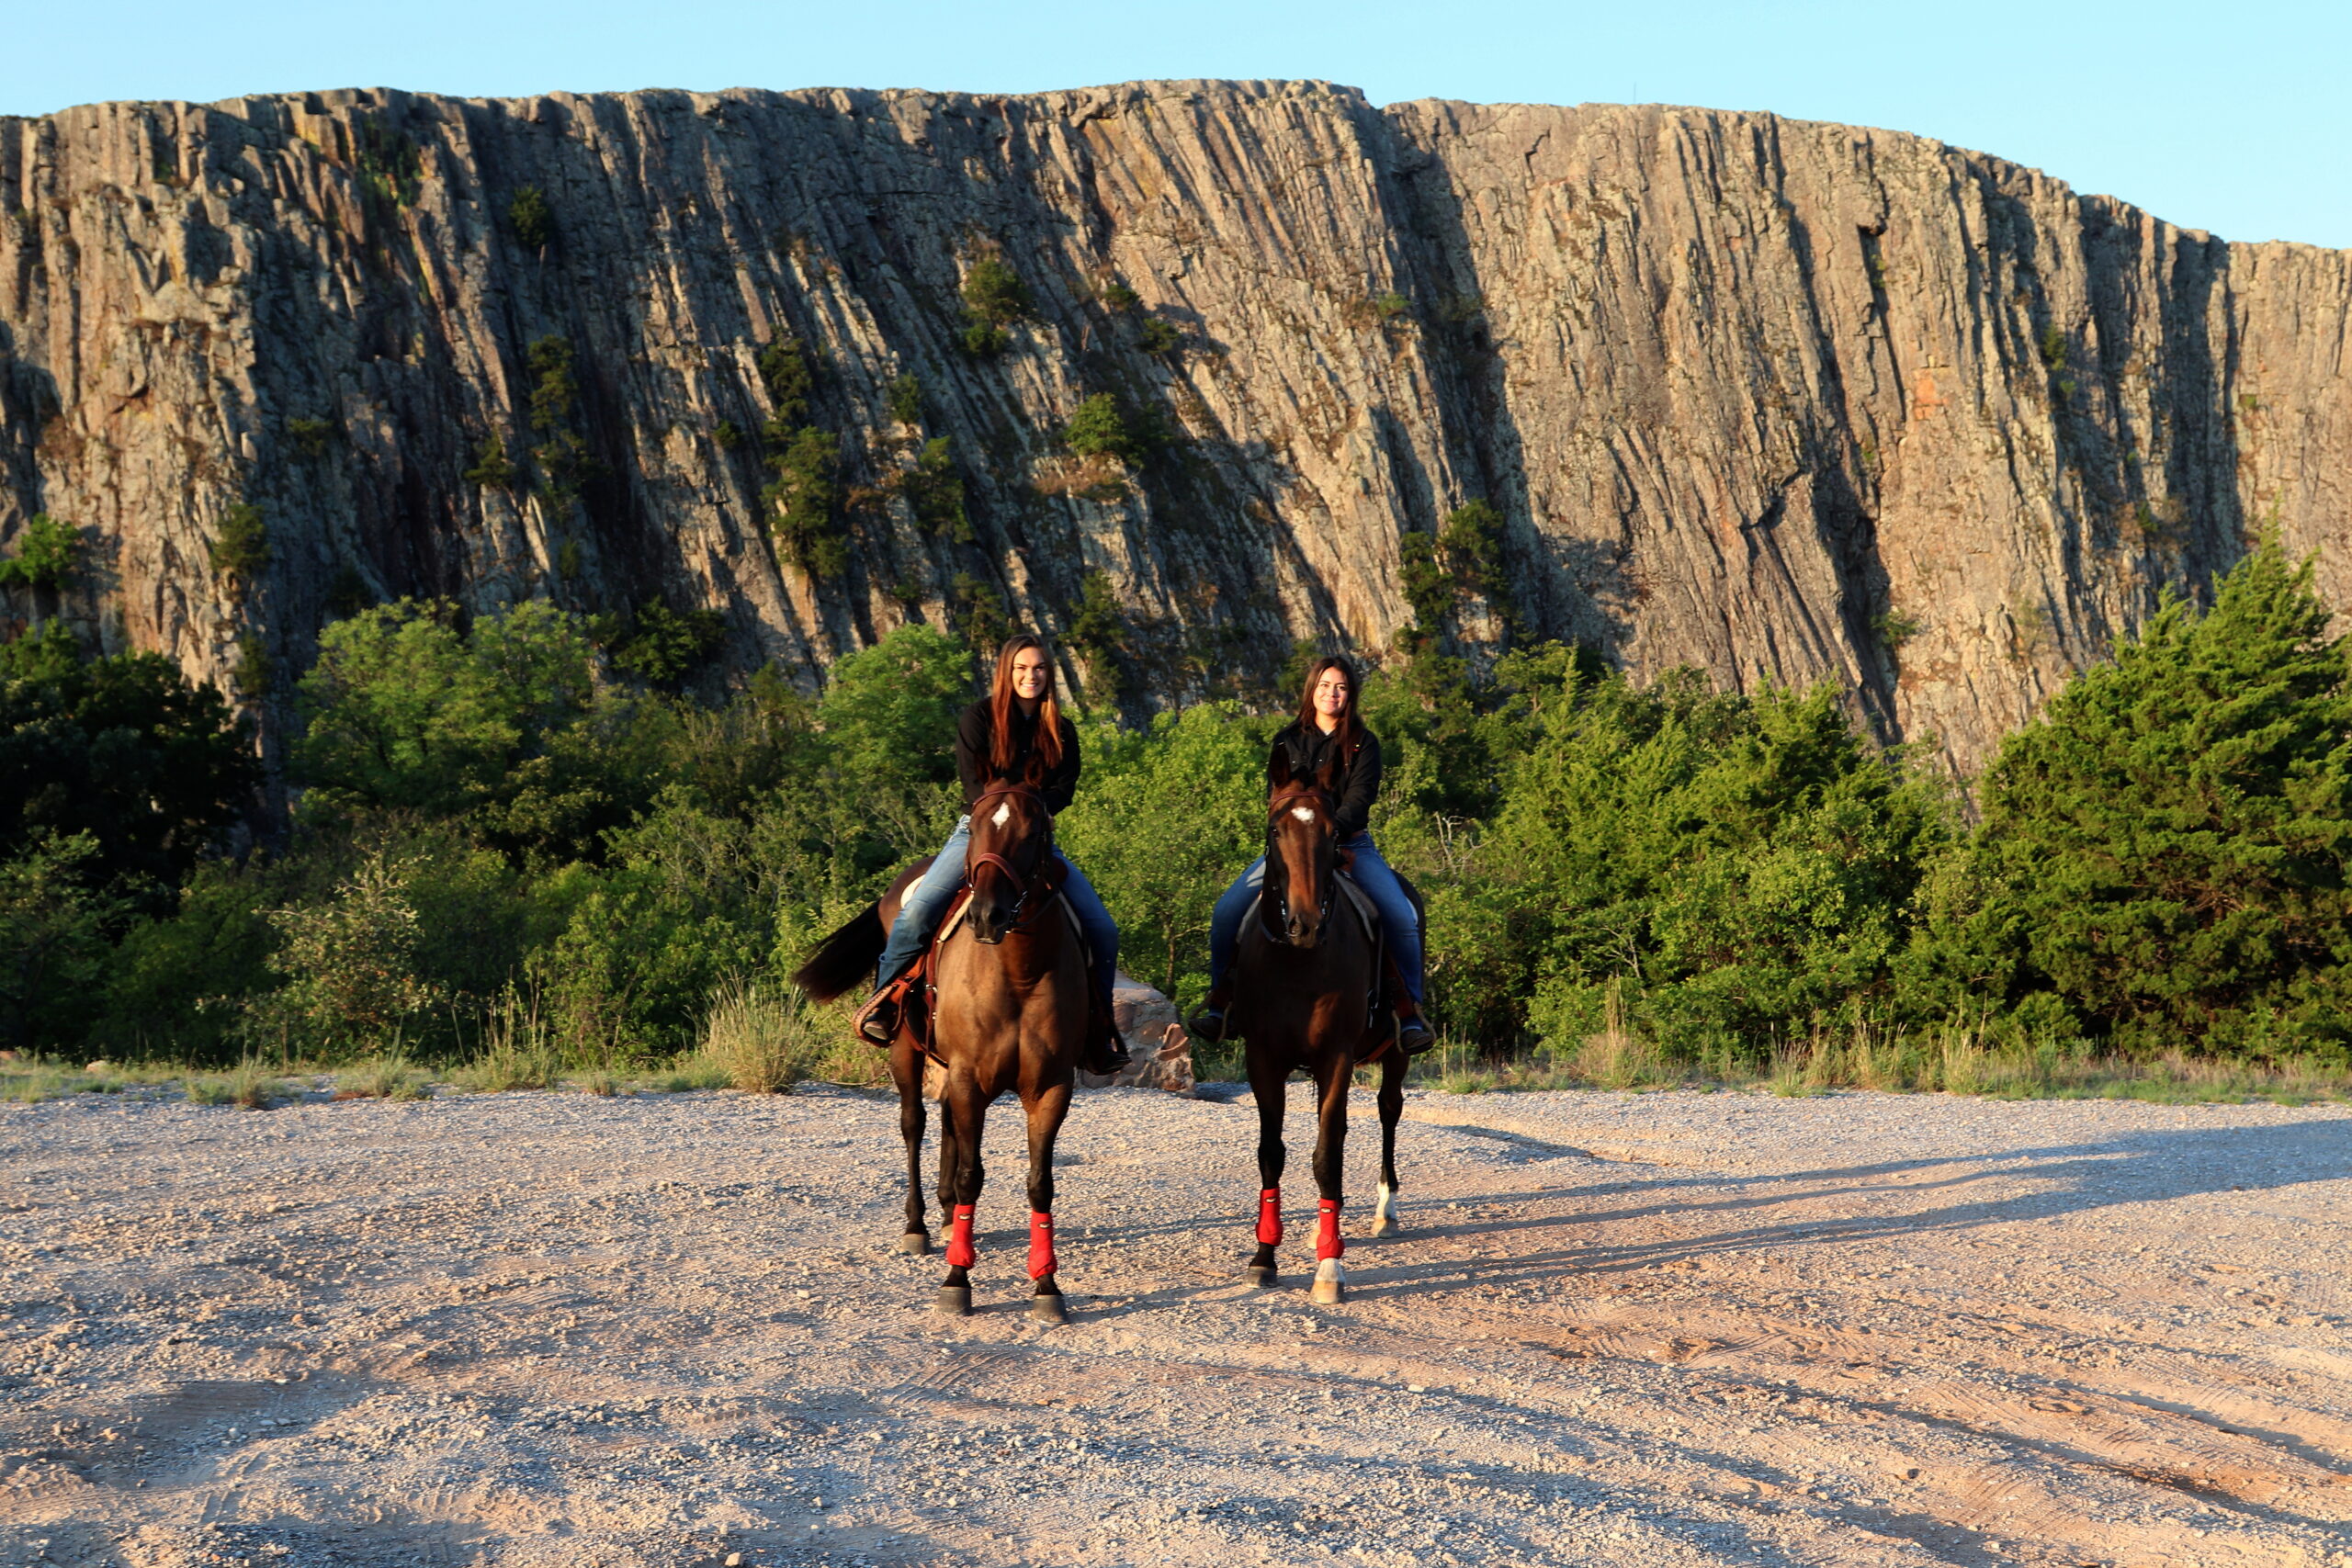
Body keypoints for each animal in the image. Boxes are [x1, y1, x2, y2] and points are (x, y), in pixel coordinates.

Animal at [790, 784, 1081, 1325]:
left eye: (1034, 833)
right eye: (979, 826)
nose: (987, 915)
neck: (1019, 974)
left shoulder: (1050, 1087)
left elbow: (1040, 1182)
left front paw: (1047, 1286)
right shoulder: (970, 1077)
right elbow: (971, 1176)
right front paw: (956, 1280)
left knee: (947, 1123)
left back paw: (948, 1220)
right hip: (906, 1051)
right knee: (915, 1124)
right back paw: (919, 1227)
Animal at [1223, 751, 1401, 1306]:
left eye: (1332, 831)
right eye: (1274, 829)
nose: (1304, 924)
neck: (1298, 962)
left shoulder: (1336, 1057)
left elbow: (1327, 1156)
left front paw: (1330, 1267)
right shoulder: (1263, 1058)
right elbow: (1271, 1153)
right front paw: (1264, 1257)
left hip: (1398, 1052)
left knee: (1388, 1111)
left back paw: (1384, 1211)